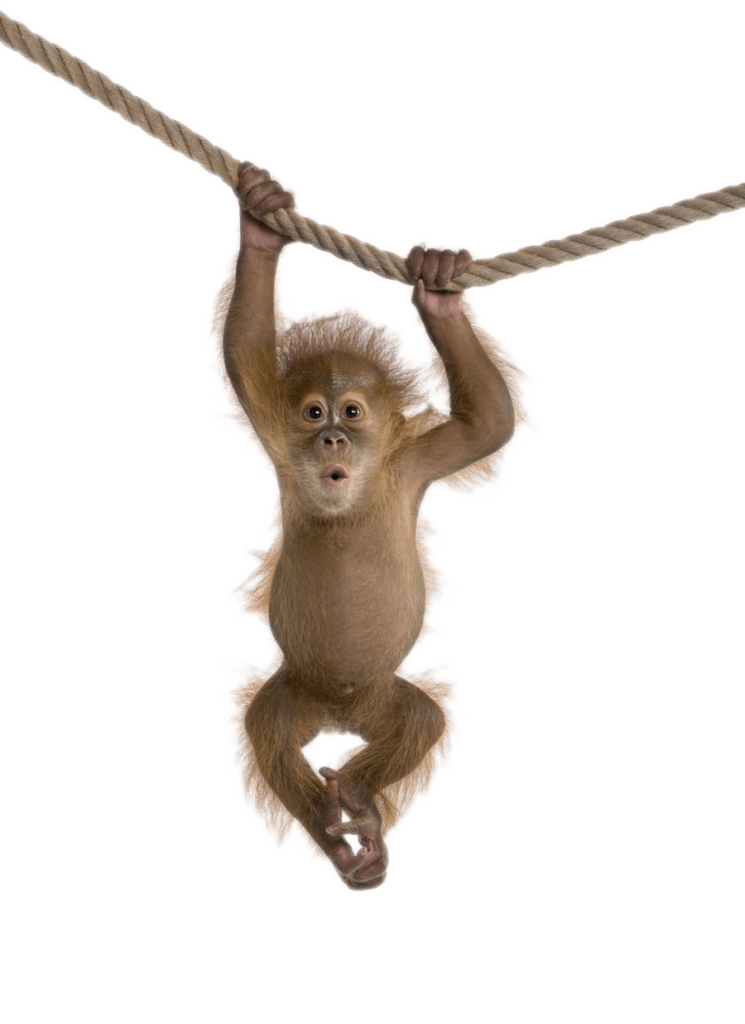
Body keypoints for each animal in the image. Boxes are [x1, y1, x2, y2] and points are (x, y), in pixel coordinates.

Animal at [221, 162, 520, 891]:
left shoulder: (413, 462)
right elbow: (243, 353)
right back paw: (335, 834)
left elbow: (488, 422)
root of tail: (340, 710)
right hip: (298, 690)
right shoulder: (274, 430)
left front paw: (438, 290)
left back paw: (357, 802)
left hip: (381, 698)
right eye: (312, 413)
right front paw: (262, 223)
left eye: (351, 412)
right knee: (268, 731)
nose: (331, 438)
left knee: (419, 720)